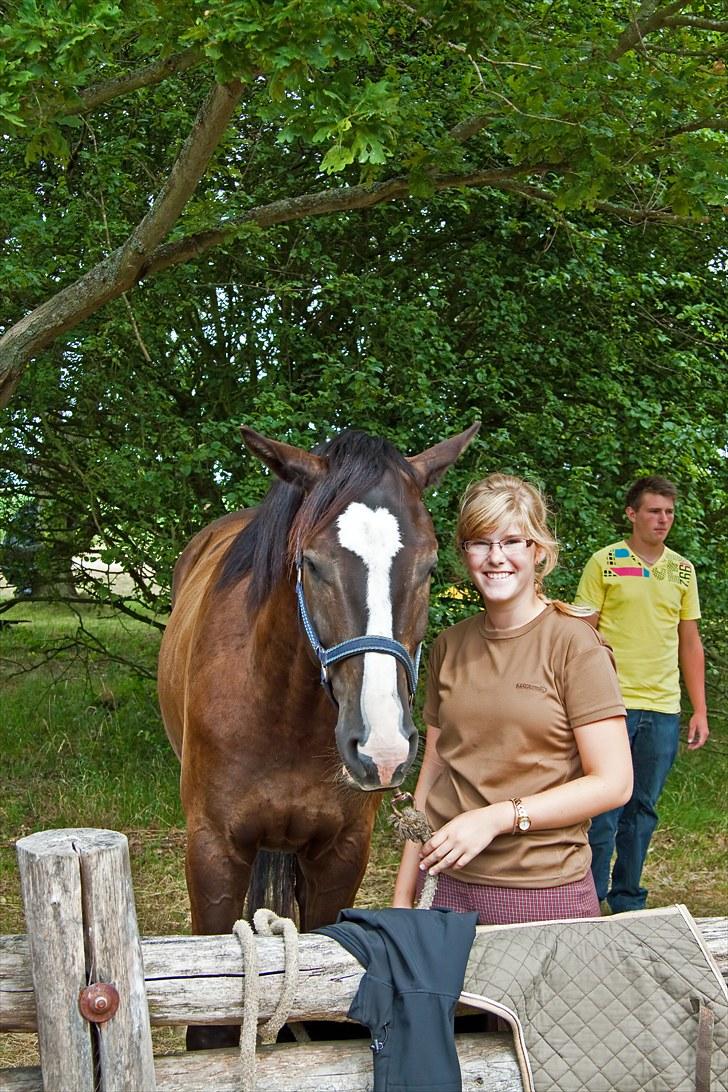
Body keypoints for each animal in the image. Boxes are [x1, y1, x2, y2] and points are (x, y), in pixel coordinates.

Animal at [158, 421, 478, 1043]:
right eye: (311, 563)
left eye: (430, 567)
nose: (382, 748)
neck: (283, 713)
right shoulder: (212, 854)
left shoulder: (340, 856)